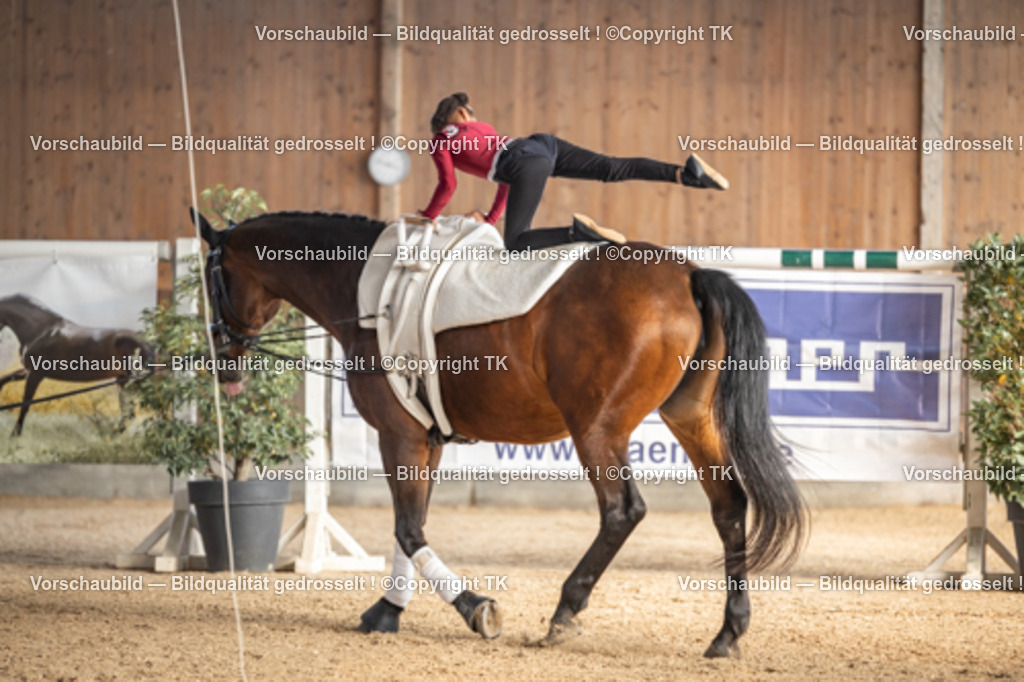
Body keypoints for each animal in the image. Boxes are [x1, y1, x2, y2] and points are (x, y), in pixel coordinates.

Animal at [0, 294, 152, 436]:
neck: (40, 331)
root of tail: (147, 342)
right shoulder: (28, 371)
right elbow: (5, 378)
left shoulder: (35, 374)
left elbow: (25, 404)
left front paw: (15, 435)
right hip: (123, 380)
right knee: (129, 413)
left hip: (134, 382)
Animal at [195, 209, 806, 658]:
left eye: (210, 280)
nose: (221, 362)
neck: (369, 291)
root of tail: (687, 275)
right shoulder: (426, 440)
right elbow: (409, 527)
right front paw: (387, 611)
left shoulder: (398, 435)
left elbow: (408, 529)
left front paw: (473, 608)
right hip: (689, 418)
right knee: (729, 507)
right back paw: (727, 633)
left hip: (597, 428)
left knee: (623, 511)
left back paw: (565, 611)